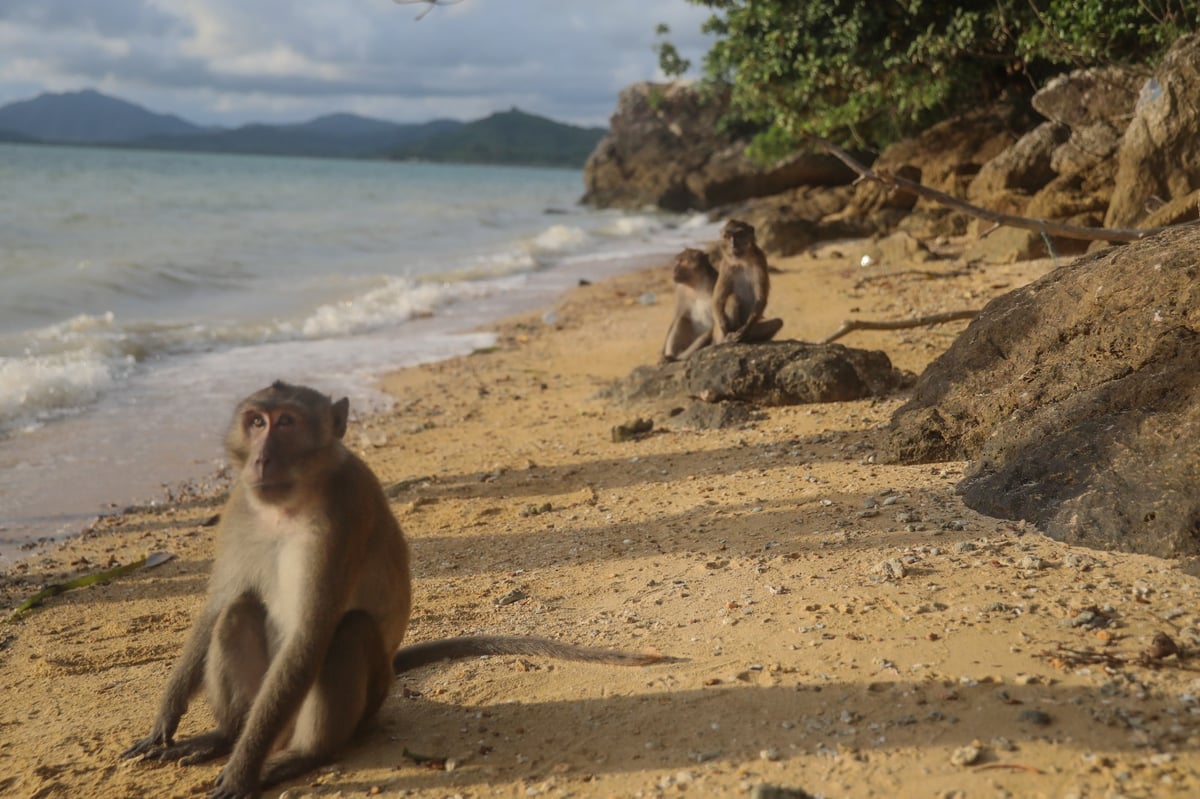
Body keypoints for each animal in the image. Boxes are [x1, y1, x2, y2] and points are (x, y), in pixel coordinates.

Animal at [125, 381, 672, 796]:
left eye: (287, 423)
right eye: (257, 422)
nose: (261, 460)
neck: (289, 503)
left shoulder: (343, 514)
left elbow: (311, 635)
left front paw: (241, 773)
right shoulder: (240, 507)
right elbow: (217, 606)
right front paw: (165, 723)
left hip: (357, 706)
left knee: (349, 630)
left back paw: (302, 755)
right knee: (238, 611)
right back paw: (224, 735)